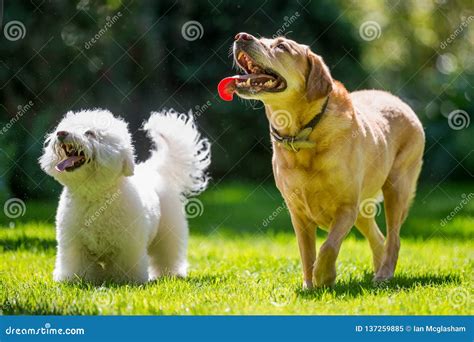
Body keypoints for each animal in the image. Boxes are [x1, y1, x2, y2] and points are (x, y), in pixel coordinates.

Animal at [39, 109, 210, 284]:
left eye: (90, 133)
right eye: (66, 127)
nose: (61, 133)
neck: (95, 195)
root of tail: (154, 169)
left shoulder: (128, 247)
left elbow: (126, 265)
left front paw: (127, 281)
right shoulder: (75, 245)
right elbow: (77, 265)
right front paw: (77, 279)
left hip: (168, 233)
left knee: (167, 255)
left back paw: (170, 274)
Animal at [219, 32, 426, 288]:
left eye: (281, 46)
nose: (241, 36)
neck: (303, 134)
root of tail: (399, 100)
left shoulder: (346, 207)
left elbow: (328, 246)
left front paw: (324, 276)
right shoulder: (298, 214)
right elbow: (307, 253)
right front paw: (309, 285)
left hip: (396, 188)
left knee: (394, 238)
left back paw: (384, 274)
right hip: (364, 208)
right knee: (379, 237)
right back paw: (377, 271)